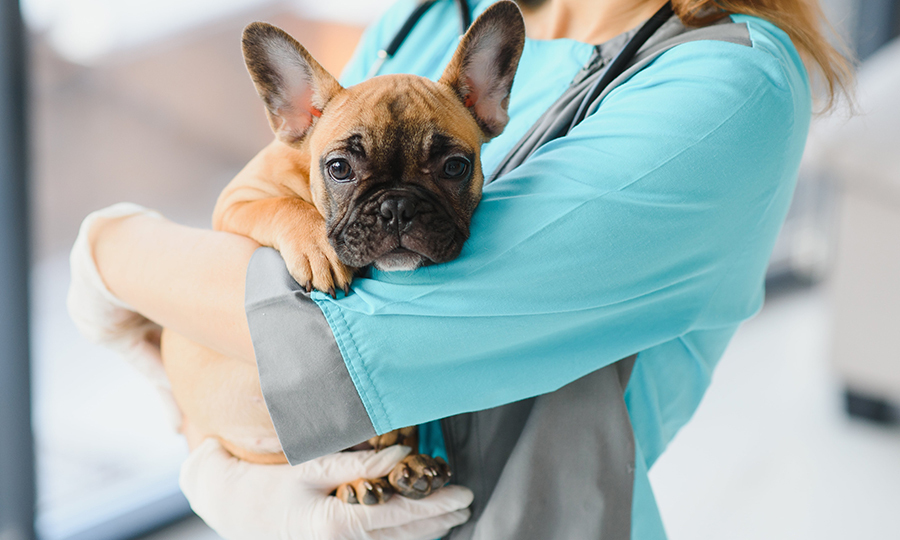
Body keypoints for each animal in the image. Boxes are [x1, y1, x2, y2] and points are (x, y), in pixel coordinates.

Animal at [161, 1, 524, 506]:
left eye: (455, 167)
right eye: (339, 168)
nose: (397, 206)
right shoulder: (236, 202)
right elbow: (283, 205)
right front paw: (317, 247)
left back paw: (409, 465)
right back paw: (358, 478)